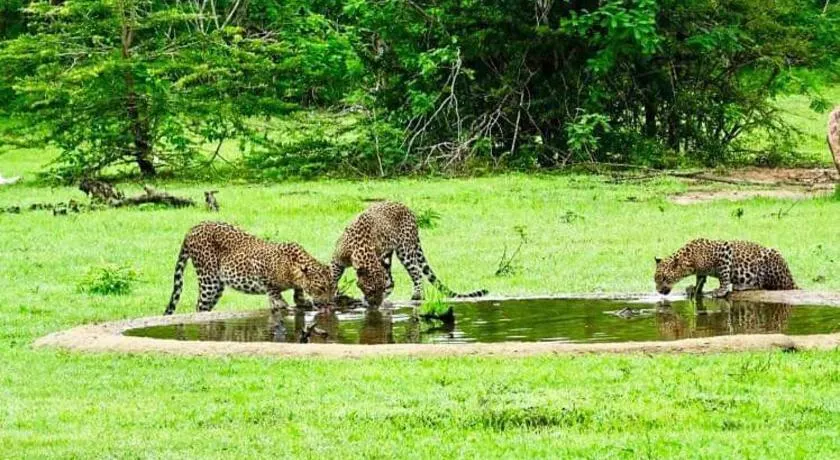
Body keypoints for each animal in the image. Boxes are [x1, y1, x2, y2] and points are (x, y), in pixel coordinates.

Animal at [163, 221, 334, 315]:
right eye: (321, 288)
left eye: (332, 288)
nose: (329, 304)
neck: (292, 270)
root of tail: (192, 229)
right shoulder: (260, 268)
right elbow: (274, 292)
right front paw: (283, 305)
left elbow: (295, 293)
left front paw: (301, 300)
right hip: (208, 280)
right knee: (199, 307)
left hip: (218, 286)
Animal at [331, 201, 488, 307]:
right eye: (370, 290)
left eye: (379, 289)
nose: (376, 305)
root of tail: (408, 210)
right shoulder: (337, 260)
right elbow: (333, 277)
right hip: (389, 256)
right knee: (393, 280)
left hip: (405, 250)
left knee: (415, 273)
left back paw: (417, 296)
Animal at [654, 238, 798, 299]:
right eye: (655, 279)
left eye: (664, 278)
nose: (658, 291)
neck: (691, 260)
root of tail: (790, 278)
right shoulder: (701, 271)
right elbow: (700, 280)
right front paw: (694, 289)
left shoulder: (724, 251)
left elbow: (724, 276)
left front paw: (721, 291)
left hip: (770, 258)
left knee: (763, 285)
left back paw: (742, 286)